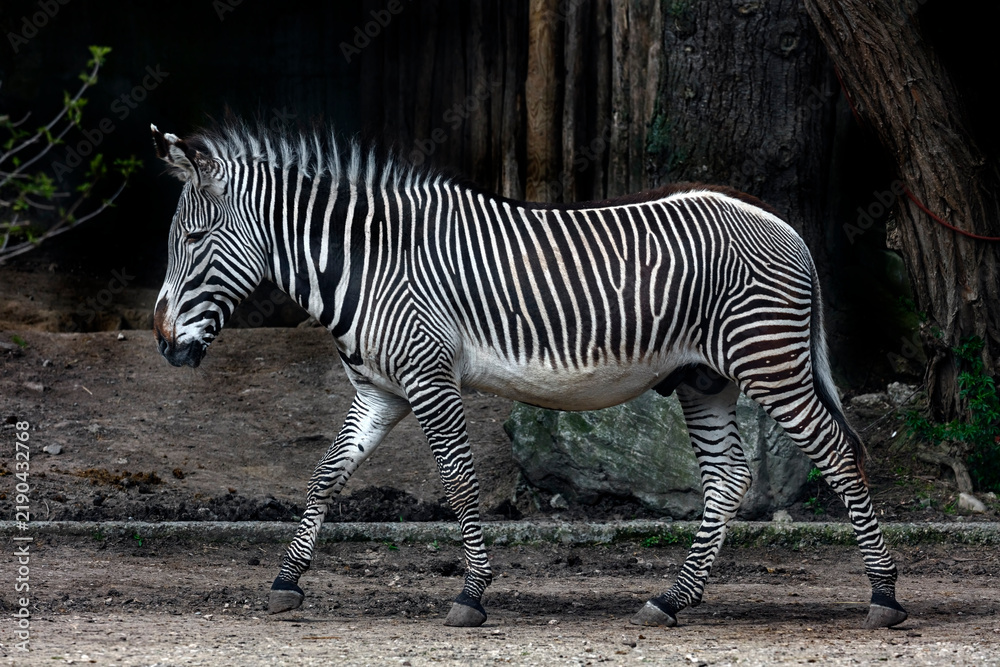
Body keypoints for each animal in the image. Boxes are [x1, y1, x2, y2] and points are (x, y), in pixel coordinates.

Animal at [150, 121, 907, 630]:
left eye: (194, 239)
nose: (161, 343)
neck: (367, 263)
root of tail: (780, 222)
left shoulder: (429, 379)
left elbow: (458, 481)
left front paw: (472, 592)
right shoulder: (380, 390)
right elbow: (325, 476)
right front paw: (286, 581)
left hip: (770, 361)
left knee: (841, 455)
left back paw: (885, 596)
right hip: (704, 379)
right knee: (728, 477)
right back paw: (671, 599)